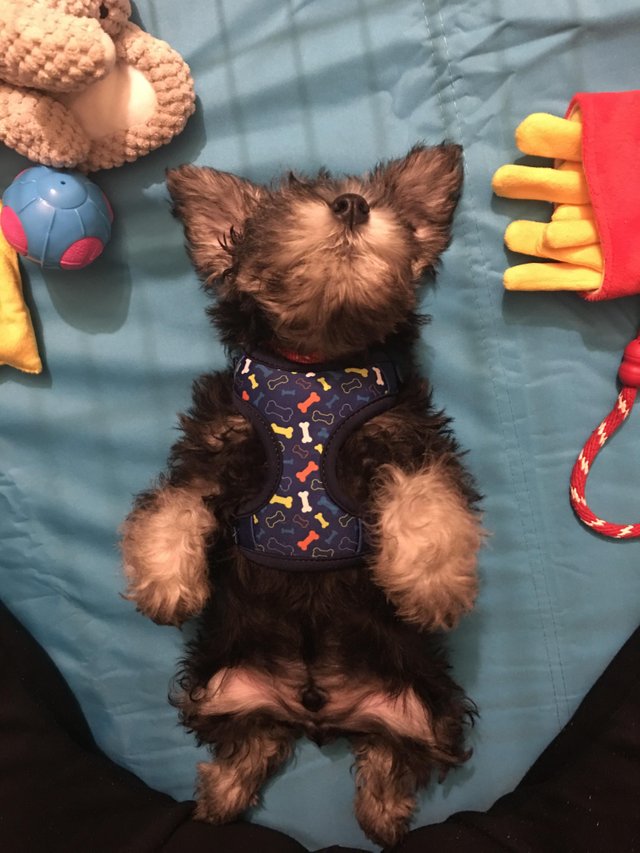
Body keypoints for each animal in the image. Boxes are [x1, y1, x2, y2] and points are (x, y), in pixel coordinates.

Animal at [120, 145, 482, 844]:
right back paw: (223, 794)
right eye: (288, 205)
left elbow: (428, 497)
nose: (352, 204)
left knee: (395, 753)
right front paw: (166, 585)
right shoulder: (216, 443)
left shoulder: (407, 438)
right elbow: (173, 502)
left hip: (426, 703)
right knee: (252, 739)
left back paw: (383, 812)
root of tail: (318, 711)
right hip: (219, 685)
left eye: (386, 205)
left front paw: (429, 585)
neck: (316, 358)